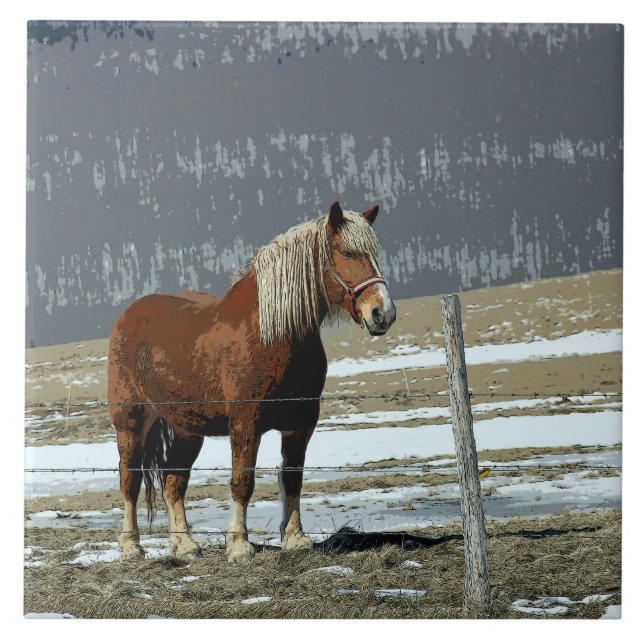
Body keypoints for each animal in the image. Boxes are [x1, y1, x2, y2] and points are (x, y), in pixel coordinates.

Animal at [108, 201, 397, 564]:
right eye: (346, 252)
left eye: (375, 254)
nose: (383, 313)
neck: (272, 336)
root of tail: (129, 315)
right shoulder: (246, 423)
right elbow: (242, 481)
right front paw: (239, 546)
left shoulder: (301, 423)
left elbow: (293, 479)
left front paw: (295, 539)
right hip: (131, 421)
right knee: (129, 481)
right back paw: (131, 547)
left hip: (188, 429)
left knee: (174, 482)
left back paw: (185, 546)